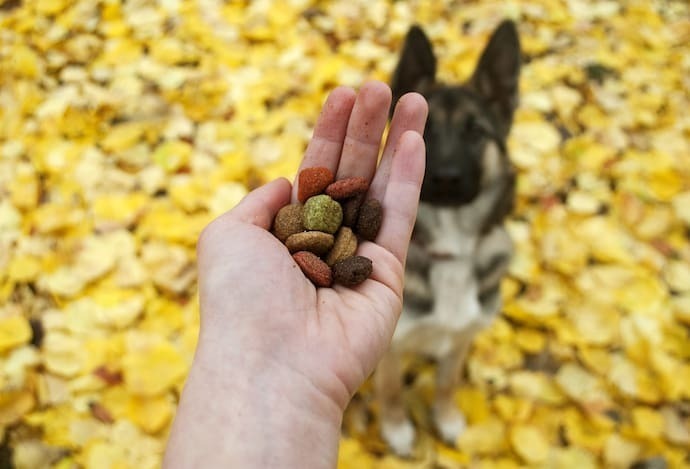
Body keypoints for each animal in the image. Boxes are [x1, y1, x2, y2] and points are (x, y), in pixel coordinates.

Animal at [374, 20, 520, 456]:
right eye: (424, 130)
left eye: (476, 132)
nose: (446, 178)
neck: (450, 251)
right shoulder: (391, 347)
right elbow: (390, 390)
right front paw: (397, 430)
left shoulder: (461, 339)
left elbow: (448, 382)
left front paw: (449, 418)